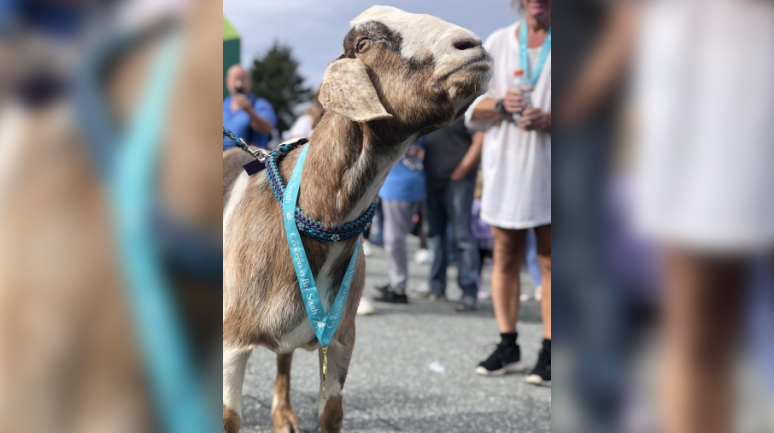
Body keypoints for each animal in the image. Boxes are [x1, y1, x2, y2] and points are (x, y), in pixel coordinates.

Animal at [221, 5, 494, 428]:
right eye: (364, 44)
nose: (472, 45)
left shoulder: (341, 341)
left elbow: (332, 413)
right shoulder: (232, 342)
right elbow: (228, 419)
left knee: (283, 359)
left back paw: (284, 416)